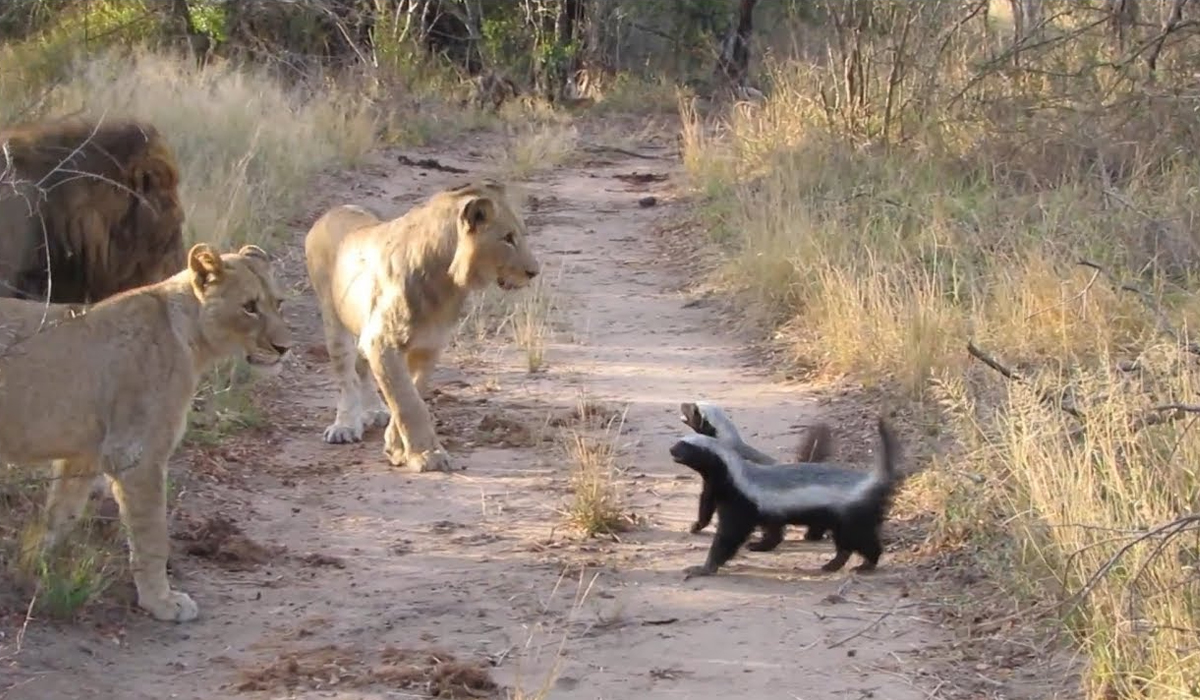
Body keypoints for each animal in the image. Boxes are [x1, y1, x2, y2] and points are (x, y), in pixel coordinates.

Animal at [0, 243, 292, 619]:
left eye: (278, 303)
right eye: (250, 307)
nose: (284, 348)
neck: (191, 337)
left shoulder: (86, 454)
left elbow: (61, 514)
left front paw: (33, 567)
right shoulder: (136, 454)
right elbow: (152, 536)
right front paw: (162, 602)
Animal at [302, 181, 542, 475]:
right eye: (507, 238)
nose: (534, 272)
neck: (447, 282)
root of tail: (331, 211)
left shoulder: (429, 345)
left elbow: (412, 393)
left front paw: (396, 447)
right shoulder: (382, 342)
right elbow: (408, 402)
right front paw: (428, 455)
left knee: (362, 368)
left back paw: (375, 411)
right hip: (333, 318)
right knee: (346, 377)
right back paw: (345, 426)